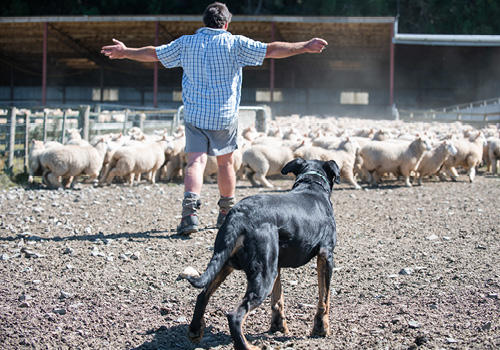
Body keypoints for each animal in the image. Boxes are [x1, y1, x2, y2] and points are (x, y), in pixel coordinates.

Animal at [183, 159, 340, 350]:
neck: (311, 184)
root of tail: (238, 216)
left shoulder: (277, 264)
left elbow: (278, 298)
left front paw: (278, 327)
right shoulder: (326, 256)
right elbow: (324, 298)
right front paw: (321, 329)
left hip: (227, 262)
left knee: (202, 296)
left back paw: (195, 331)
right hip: (264, 274)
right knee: (235, 316)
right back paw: (247, 346)